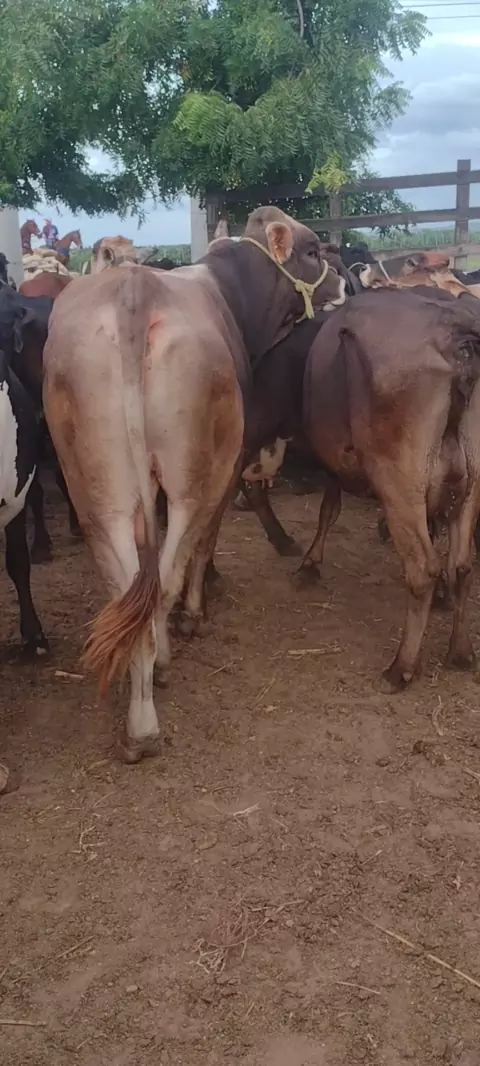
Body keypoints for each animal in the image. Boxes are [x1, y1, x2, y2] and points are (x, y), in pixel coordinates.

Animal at [43, 206, 345, 762]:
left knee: (127, 585)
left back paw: (138, 711)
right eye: (313, 250)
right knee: (167, 569)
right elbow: (206, 545)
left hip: (95, 487)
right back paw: (154, 692)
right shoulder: (231, 461)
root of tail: (134, 293)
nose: (342, 282)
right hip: (193, 476)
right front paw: (195, 614)